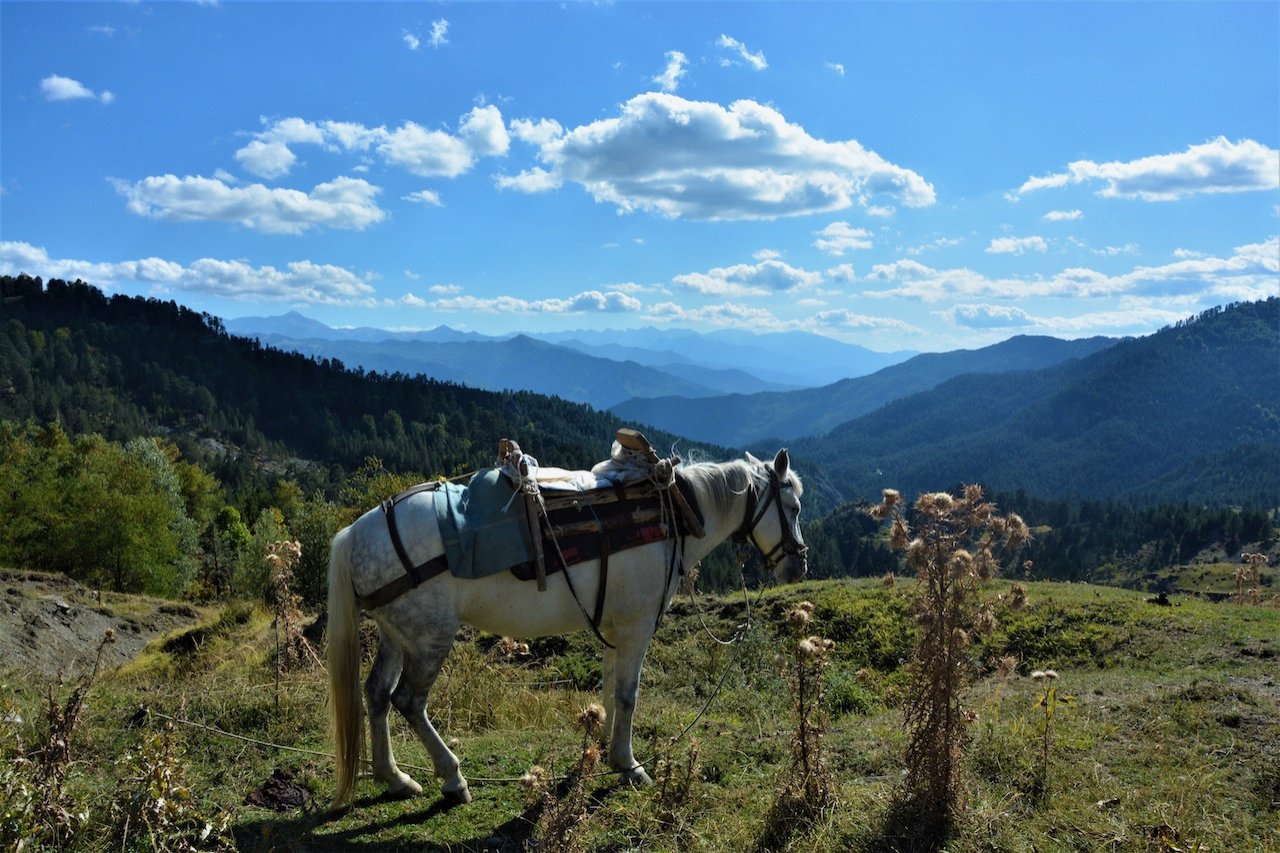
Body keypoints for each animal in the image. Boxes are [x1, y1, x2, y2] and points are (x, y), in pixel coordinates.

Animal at [332, 445, 808, 804]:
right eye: (794, 506)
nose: (799, 565)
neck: (673, 516)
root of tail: (356, 533)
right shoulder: (636, 628)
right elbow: (629, 695)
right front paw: (628, 764)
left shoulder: (615, 631)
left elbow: (610, 691)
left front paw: (604, 750)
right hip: (429, 638)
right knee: (409, 702)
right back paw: (452, 777)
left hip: (398, 634)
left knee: (376, 693)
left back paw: (395, 778)